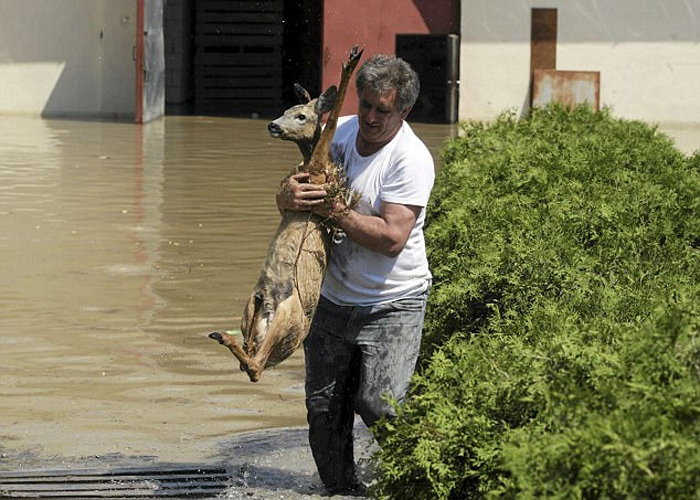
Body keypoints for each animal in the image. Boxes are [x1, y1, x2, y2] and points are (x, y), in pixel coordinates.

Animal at [208, 47, 364, 382]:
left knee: (254, 367)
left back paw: (222, 336)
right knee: (253, 364)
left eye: (301, 115)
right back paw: (225, 337)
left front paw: (351, 62)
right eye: (285, 110)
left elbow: (329, 126)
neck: (309, 165)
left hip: (287, 317)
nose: (273, 125)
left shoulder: (318, 172)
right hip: (255, 313)